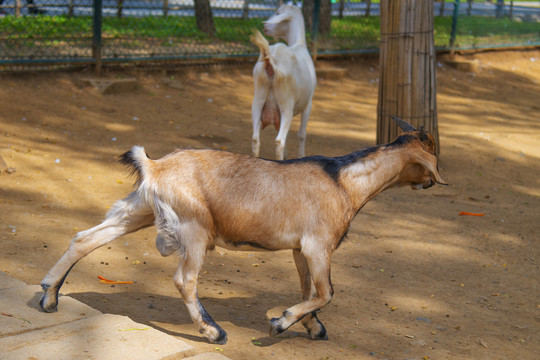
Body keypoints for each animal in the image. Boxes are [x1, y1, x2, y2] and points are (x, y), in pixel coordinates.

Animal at [40, 117, 448, 344]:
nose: (430, 182)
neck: (344, 181)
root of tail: (154, 166)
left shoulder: (300, 249)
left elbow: (309, 289)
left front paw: (311, 327)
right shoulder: (319, 245)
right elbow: (326, 291)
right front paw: (280, 323)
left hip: (139, 210)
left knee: (86, 238)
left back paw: (49, 296)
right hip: (195, 227)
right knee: (184, 280)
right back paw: (214, 332)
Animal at [252, 3, 318, 159]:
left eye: (277, 13)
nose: (265, 26)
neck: (299, 44)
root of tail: (270, 60)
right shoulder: (308, 104)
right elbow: (301, 134)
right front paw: (301, 156)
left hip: (258, 100)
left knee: (255, 139)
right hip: (285, 104)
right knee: (279, 141)